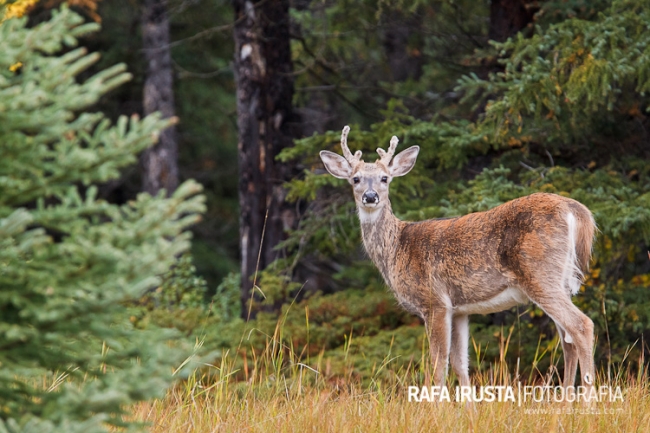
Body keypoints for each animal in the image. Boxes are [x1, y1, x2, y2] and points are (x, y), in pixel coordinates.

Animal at [319, 126, 596, 392]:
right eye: (355, 179)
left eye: (384, 178)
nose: (370, 196)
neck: (397, 248)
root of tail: (576, 210)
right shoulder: (460, 309)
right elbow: (460, 363)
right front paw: (467, 406)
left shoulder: (435, 301)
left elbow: (438, 363)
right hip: (559, 281)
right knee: (568, 340)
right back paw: (566, 400)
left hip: (540, 274)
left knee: (582, 325)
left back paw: (587, 399)